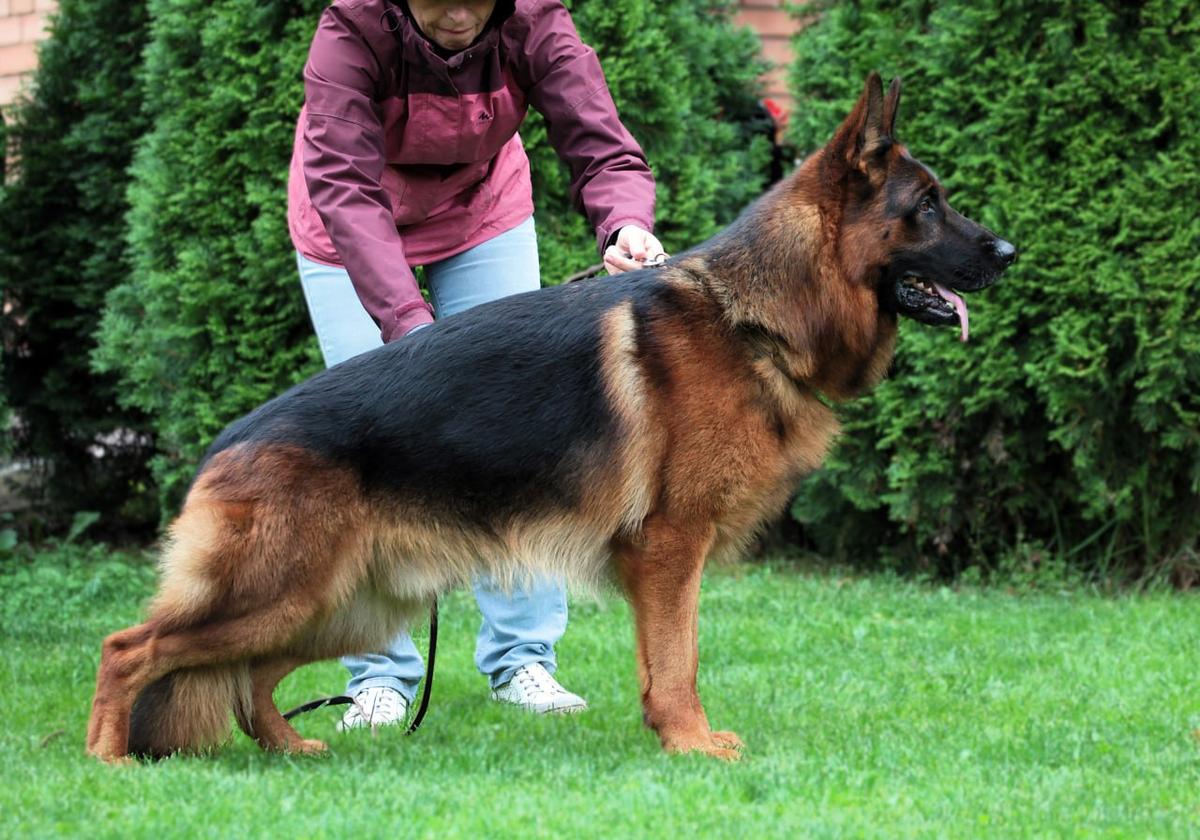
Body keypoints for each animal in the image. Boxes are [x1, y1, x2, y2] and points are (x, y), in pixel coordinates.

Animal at [87, 73, 1015, 763]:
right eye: (927, 206)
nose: (1009, 252)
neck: (754, 317)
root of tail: (226, 444)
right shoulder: (670, 548)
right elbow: (679, 659)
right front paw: (693, 744)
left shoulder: (664, 560)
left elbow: (664, 661)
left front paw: (669, 738)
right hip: (287, 593)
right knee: (130, 649)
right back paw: (108, 762)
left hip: (340, 602)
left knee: (246, 680)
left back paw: (291, 750)